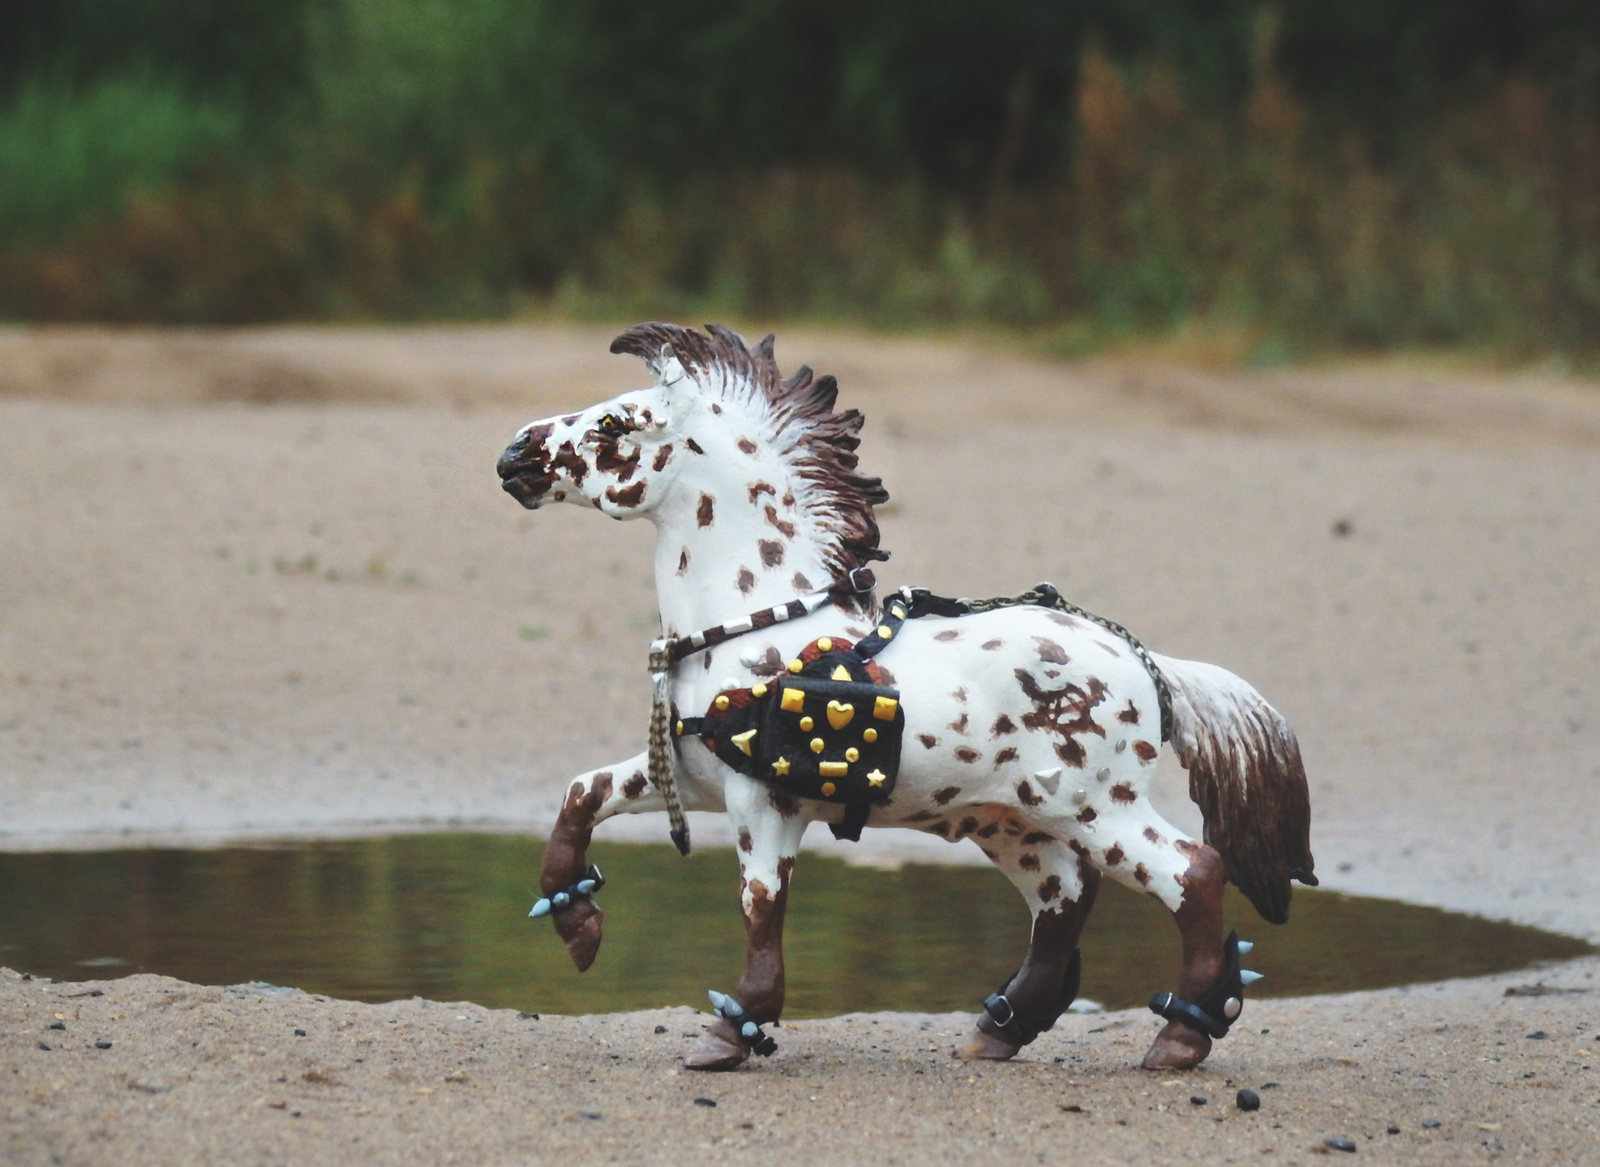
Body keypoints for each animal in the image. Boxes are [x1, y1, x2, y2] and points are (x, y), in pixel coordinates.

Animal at [496, 323, 1312, 1069]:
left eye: (614, 422)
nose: (513, 456)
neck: (757, 620)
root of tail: (1146, 664)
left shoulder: (764, 803)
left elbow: (760, 909)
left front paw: (732, 1031)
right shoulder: (692, 778)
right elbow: (581, 795)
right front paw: (578, 925)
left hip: (1094, 807)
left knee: (1193, 874)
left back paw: (1181, 1037)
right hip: (1011, 819)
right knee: (1064, 900)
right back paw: (999, 1030)